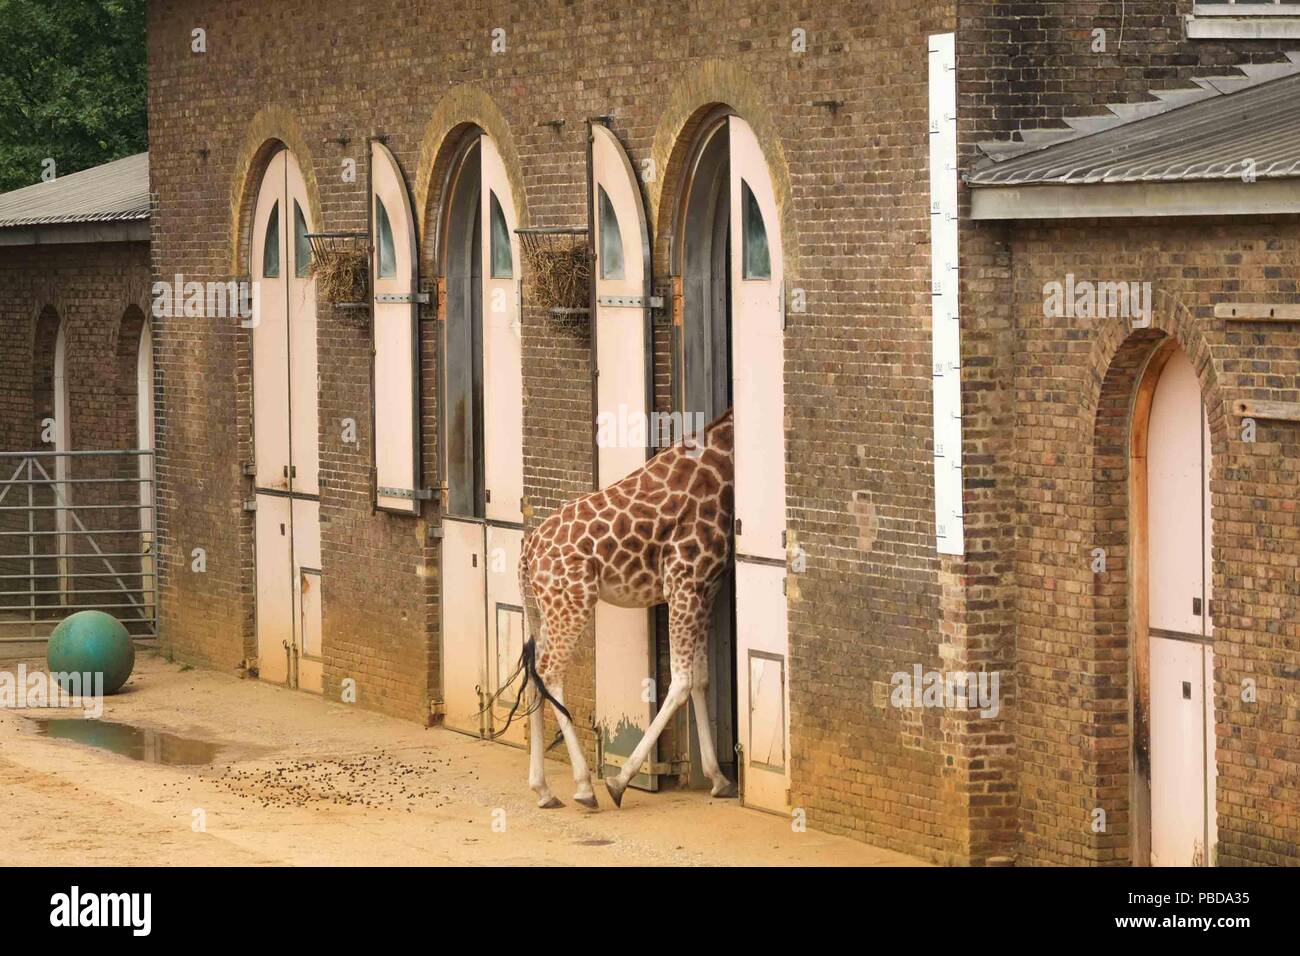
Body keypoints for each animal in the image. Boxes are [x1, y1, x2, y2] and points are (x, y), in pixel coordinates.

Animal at [509, 407, 735, 810]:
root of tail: (528, 552)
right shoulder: (685, 583)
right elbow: (681, 681)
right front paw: (619, 782)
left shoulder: (706, 588)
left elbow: (700, 678)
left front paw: (718, 778)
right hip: (573, 603)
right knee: (550, 672)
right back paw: (584, 786)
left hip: (546, 608)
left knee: (534, 673)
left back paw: (544, 789)